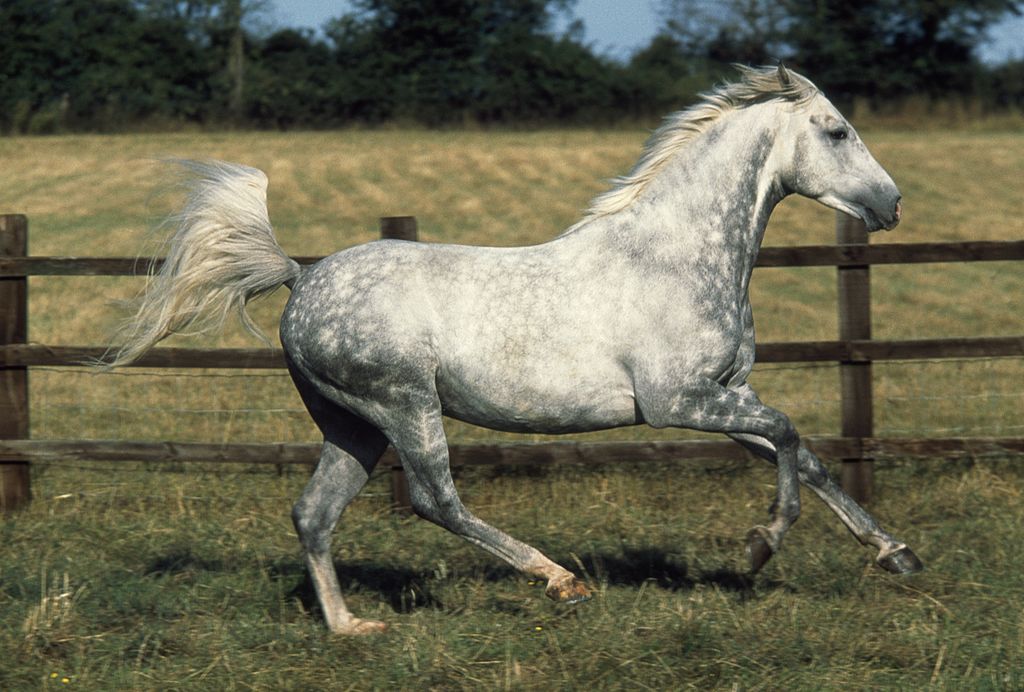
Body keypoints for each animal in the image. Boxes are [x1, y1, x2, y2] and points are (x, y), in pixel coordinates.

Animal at [107, 65, 921, 635]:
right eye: (837, 130)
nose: (892, 205)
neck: (673, 258)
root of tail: (302, 278)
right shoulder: (678, 402)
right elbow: (788, 435)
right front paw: (760, 545)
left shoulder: (727, 395)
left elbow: (805, 454)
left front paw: (898, 556)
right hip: (404, 405)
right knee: (436, 500)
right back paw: (560, 580)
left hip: (352, 424)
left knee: (313, 514)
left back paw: (352, 627)